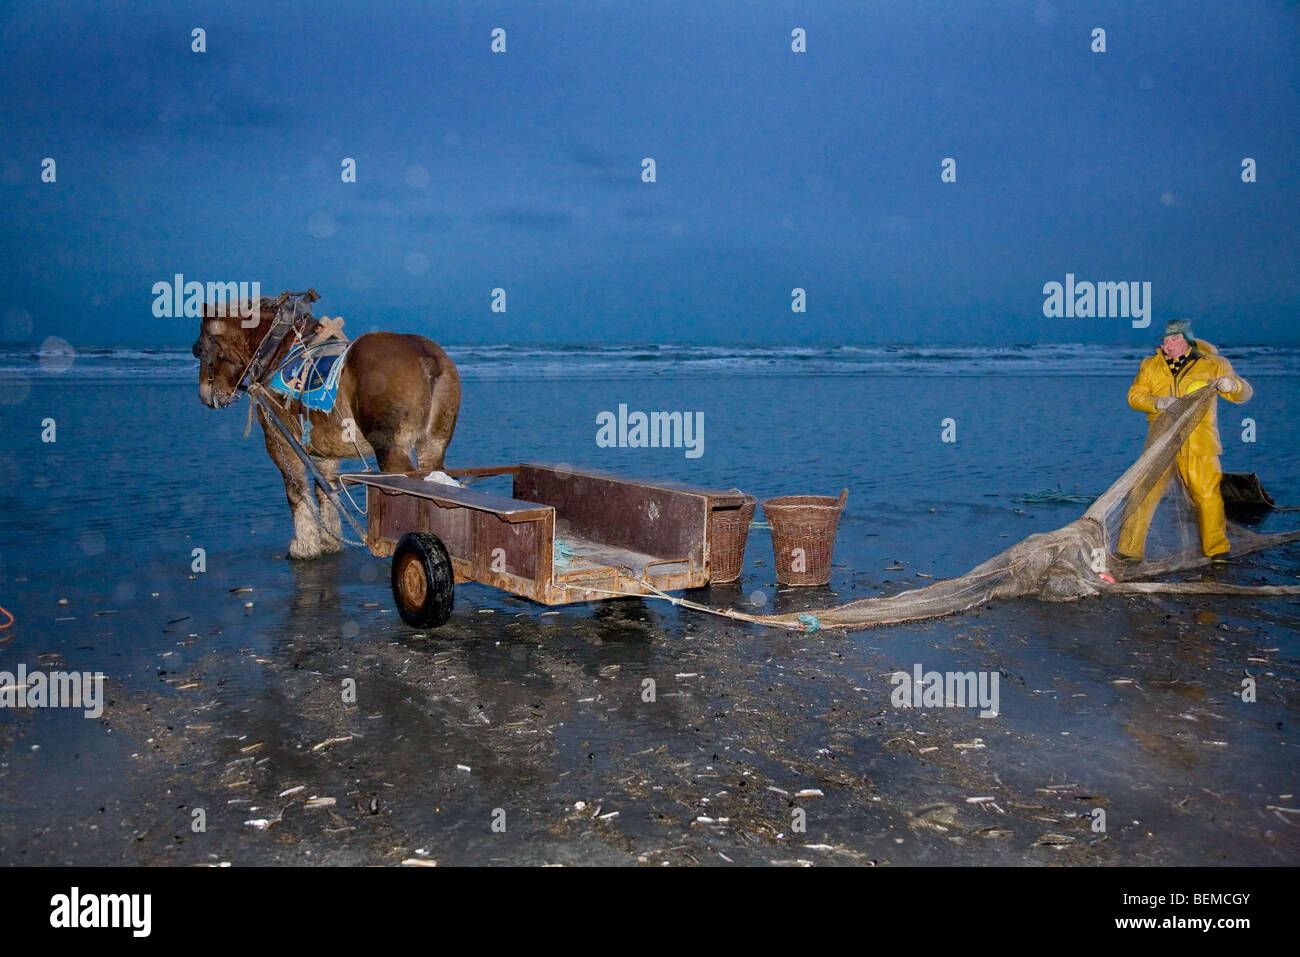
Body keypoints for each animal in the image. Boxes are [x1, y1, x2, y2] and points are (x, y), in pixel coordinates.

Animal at [191, 292, 461, 559]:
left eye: (200, 350)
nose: (205, 395)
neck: (277, 350)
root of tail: (425, 357)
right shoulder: (326, 451)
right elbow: (326, 491)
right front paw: (330, 540)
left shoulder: (280, 442)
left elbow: (296, 491)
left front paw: (304, 545)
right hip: (434, 445)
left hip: (392, 450)